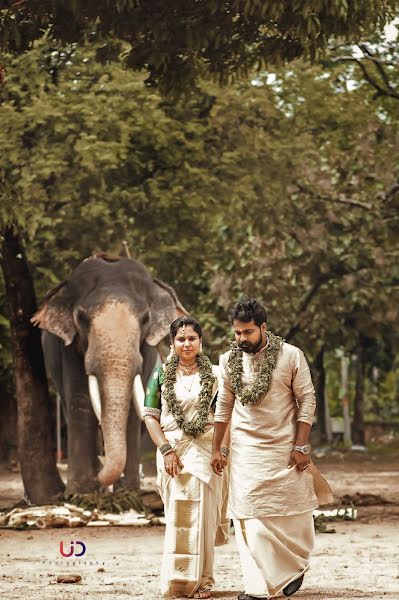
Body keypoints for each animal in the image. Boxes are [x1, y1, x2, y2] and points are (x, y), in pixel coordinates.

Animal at [32, 253, 187, 492]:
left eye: (145, 319)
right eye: (81, 318)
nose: (101, 479)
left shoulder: (145, 349)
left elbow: (132, 409)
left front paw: (128, 491)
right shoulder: (69, 348)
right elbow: (80, 401)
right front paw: (81, 491)